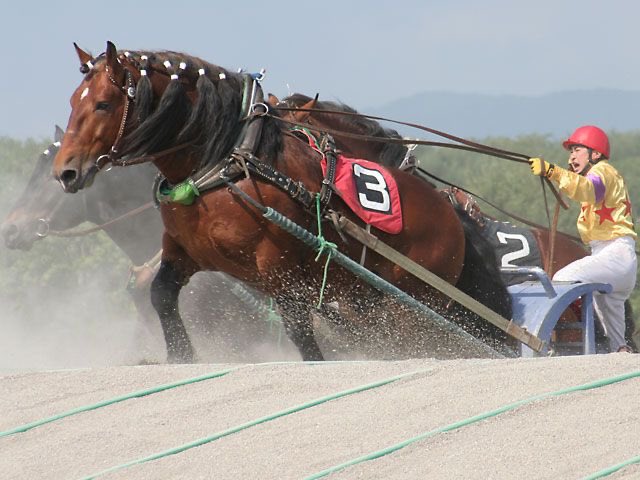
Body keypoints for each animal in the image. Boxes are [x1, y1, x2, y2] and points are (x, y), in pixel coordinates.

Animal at [51, 41, 513, 361]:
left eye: (103, 103)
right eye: (73, 102)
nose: (65, 171)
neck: (224, 161)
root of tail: (452, 216)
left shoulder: (281, 270)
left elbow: (301, 335)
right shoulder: (183, 252)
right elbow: (162, 295)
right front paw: (182, 355)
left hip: (415, 305)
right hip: (371, 300)